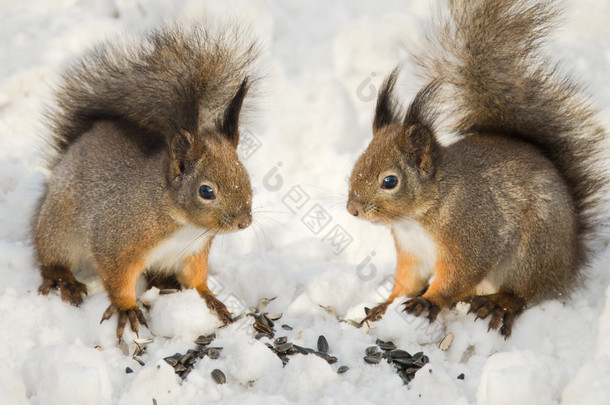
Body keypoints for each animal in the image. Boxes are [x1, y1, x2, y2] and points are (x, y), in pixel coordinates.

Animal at [32, 22, 258, 338]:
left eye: (245, 176)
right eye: (206, 191)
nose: (244, 222)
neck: (181, 223)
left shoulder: (192, 253)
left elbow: (196, 279)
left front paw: (210, 297)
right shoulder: (117, 240)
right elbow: (118, 278)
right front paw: (127, 308)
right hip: (60, 228)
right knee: (50, 257)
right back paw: (64, 280)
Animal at [346, 0, 604, 336]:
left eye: (390, 181)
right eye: (356, 165)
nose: (352, 210)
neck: (418, 217)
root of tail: (570, 261)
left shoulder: (470, 235)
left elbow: (458, 275)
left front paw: (427, 302)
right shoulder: (412, 252)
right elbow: (406, 282)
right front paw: (384, 306)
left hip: (533, 253)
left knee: (521, 293)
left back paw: (496, 304)